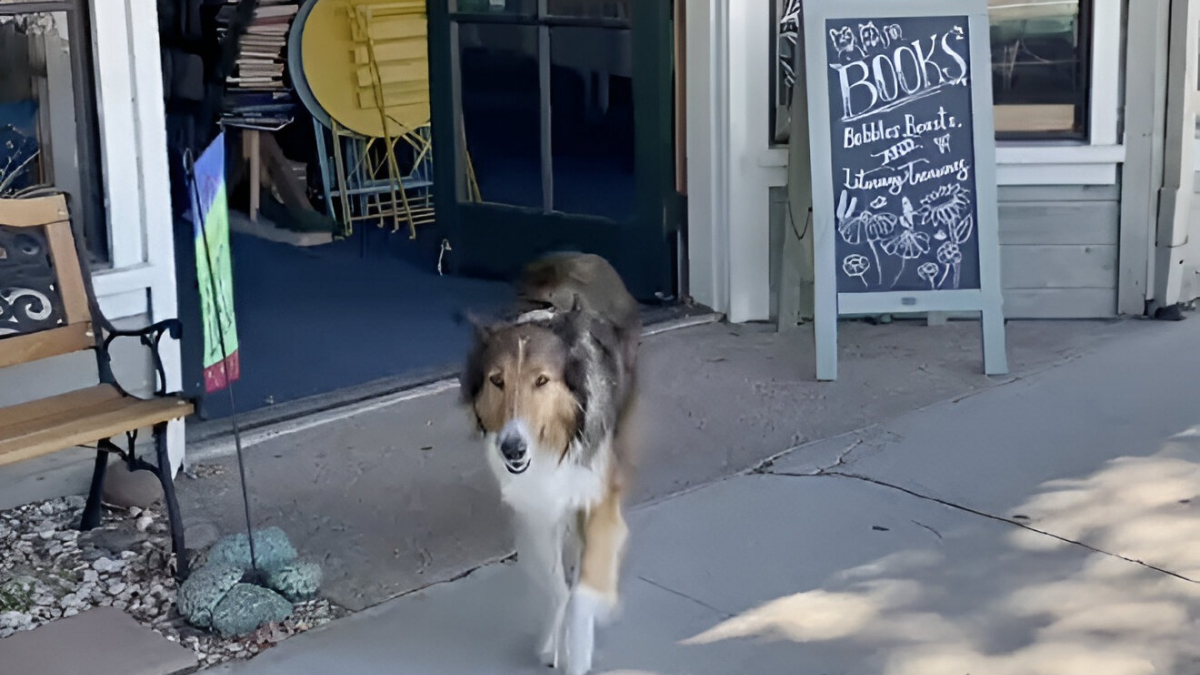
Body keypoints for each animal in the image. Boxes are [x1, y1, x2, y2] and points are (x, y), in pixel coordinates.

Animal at [458, 252, 643, 672]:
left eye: (542, 381)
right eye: (496, 380)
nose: (512, 449)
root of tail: (577, 256)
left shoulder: (597, 494)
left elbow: (582, 592)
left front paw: (579, 649)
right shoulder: (536, 506)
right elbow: (557, 587)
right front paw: (551, 642)